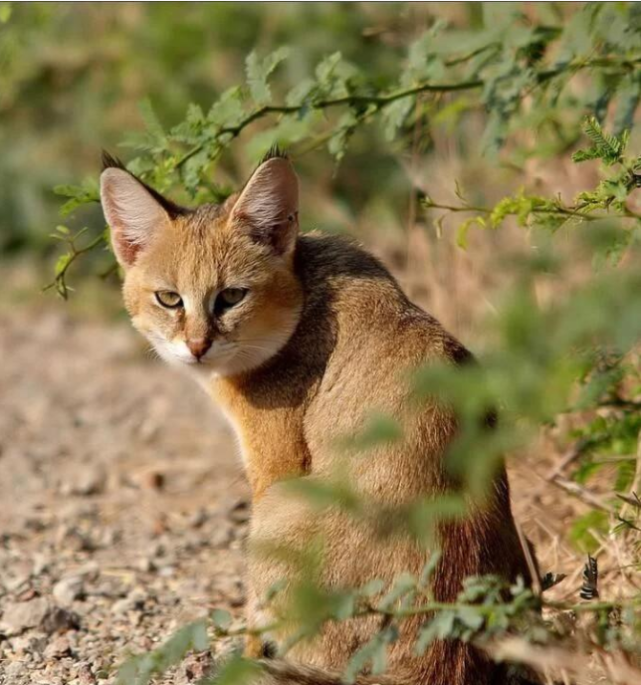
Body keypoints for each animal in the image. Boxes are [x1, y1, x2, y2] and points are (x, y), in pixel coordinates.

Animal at [100, 151, 536, 684]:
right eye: (169, 299)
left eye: (231, 296)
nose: (198, 346)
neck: (308, 294)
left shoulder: (274, 469)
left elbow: (254, 611)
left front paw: (245, 650)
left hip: (276, 511)